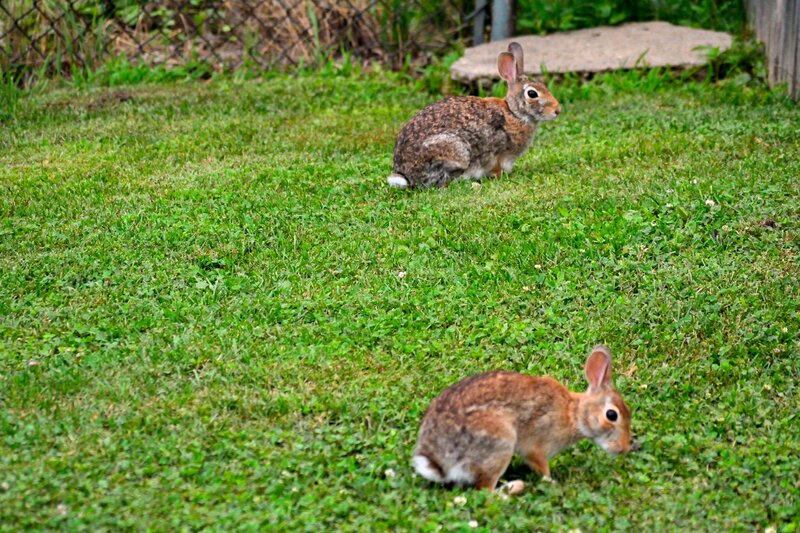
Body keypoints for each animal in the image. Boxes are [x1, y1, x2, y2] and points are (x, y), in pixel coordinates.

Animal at [387, 42, 560, 189]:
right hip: (456, 152)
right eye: (532, 93)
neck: (513, 113)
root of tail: (406, 175)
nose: (557, 110)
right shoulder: (498, 153)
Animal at [412, 345, 632, 491]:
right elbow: (542, 468)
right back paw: (514, 487)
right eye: (611, 415)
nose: (623, 448)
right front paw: (553, 483)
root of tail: (439, 463)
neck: (574, 413)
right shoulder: (536, 446)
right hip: (500, 443)